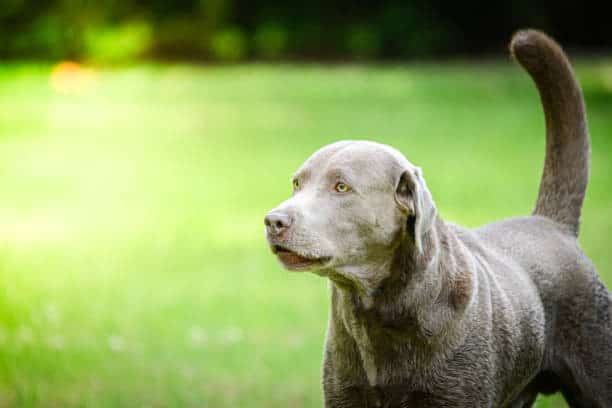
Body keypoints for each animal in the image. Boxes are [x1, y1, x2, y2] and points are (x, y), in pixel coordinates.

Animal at [262, 31, 612, 408]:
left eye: (341, 187)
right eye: (297, 184)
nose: (273, 221)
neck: (379, 309)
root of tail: (552, 225)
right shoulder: (346, 394)